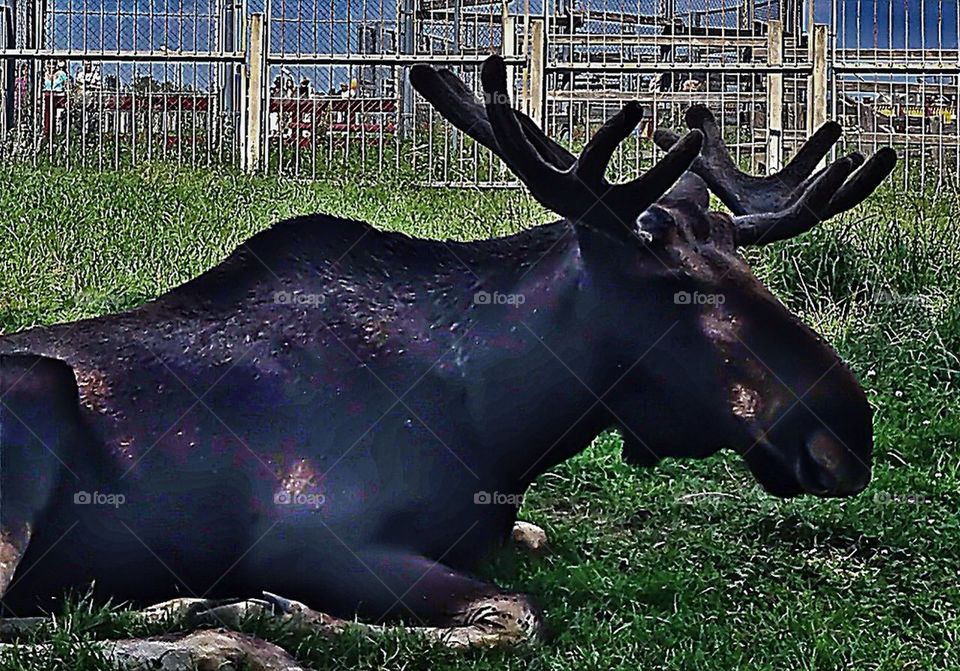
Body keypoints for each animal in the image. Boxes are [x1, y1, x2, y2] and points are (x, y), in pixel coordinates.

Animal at [0, 55, 895, 659]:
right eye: (680, 288)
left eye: (746, 268)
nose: (847, 433)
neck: (505, 423)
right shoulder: (305, 535)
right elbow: (518, 614)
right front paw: (262, 610)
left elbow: (530, 547)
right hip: (33, 400)